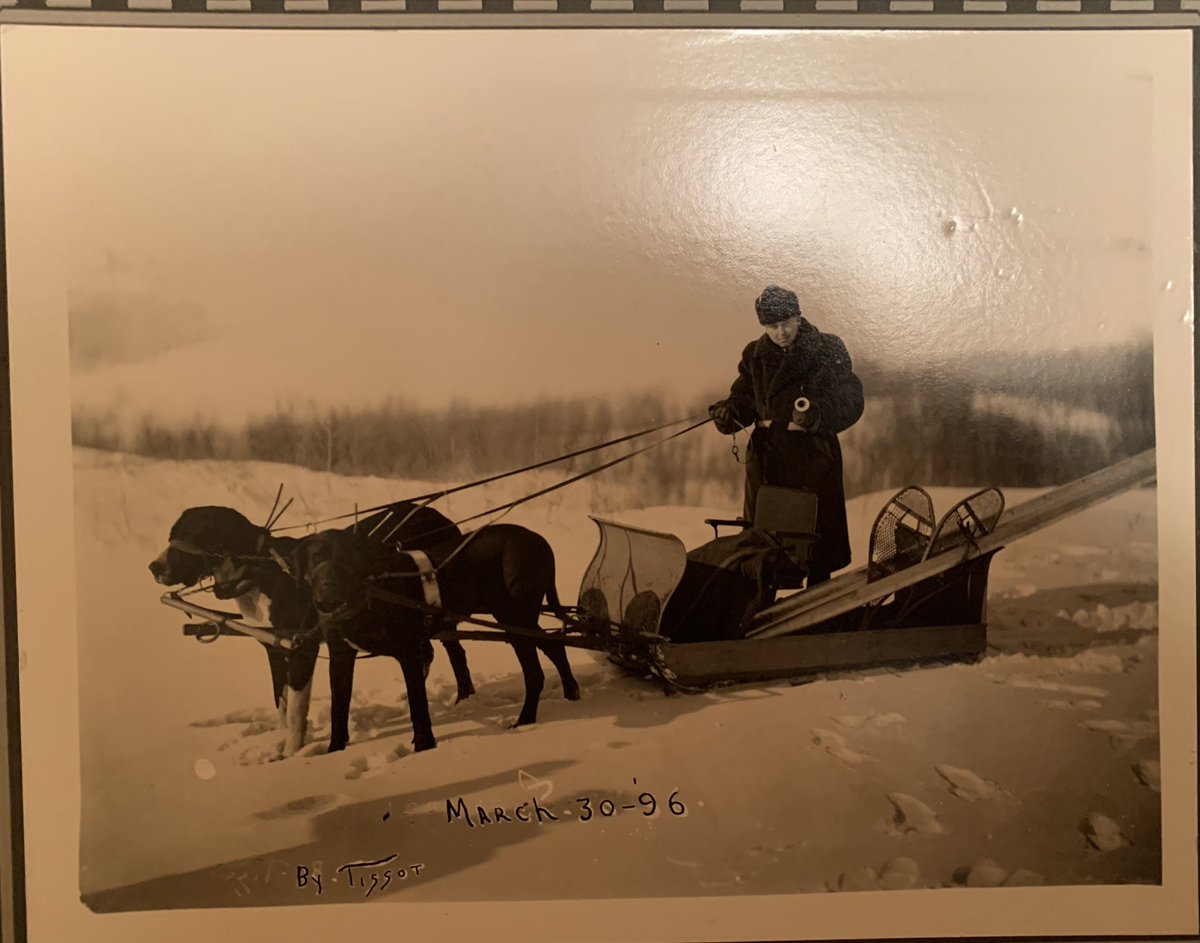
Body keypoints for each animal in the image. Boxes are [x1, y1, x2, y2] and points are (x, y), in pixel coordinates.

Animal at [152, 503, 480, 753]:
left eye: (193, 535)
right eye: (171, 535)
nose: (153, 567)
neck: (262, 572)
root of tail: (440, 516)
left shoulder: (302, 649)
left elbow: (297, 711)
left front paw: (293, 754)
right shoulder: (274, 648)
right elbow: (281, 702)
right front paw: (279, 740)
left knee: (455, 651)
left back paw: (465, 698)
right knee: (427, 652)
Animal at [297, 520, 583, 748]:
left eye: (349, 557)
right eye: (316, 556)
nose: (330, 585)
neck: (366, 594)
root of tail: (540, 541)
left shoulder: (410, 653)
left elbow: (418, 707)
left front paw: (424, 746)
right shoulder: (341, 657)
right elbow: (338, 709)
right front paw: (335, 750)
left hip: (515, 618)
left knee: (535, 673)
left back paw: (525, 720)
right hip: (520, 621)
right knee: (555, 646)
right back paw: (571, 693)